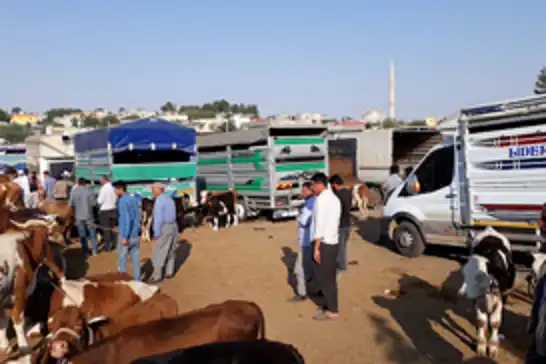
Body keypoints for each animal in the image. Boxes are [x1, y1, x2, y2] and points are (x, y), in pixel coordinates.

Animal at [454, 226, 516, 360]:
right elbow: (481, 321)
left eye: (479, 276)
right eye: (464, 274)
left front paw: (492, 348)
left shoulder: (501, 298)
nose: (462, 294)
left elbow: (495, 322)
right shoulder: (478, 301)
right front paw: (481, 346)